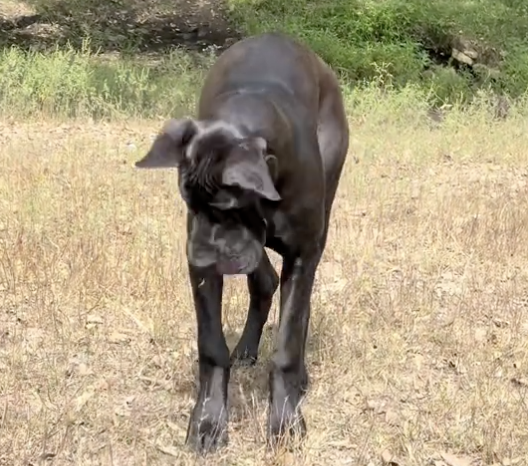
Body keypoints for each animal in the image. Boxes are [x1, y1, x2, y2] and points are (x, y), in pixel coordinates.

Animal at [135, 31, 350, 452]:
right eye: (189, 203)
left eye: (228, 207)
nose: (197, 255)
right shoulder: (207, 272)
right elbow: (211, 347)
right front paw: (208, 421)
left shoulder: (303, 254)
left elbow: (287, 343)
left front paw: (285, 420)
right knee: (264, 280)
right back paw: (249, 348)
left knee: (297, 304)